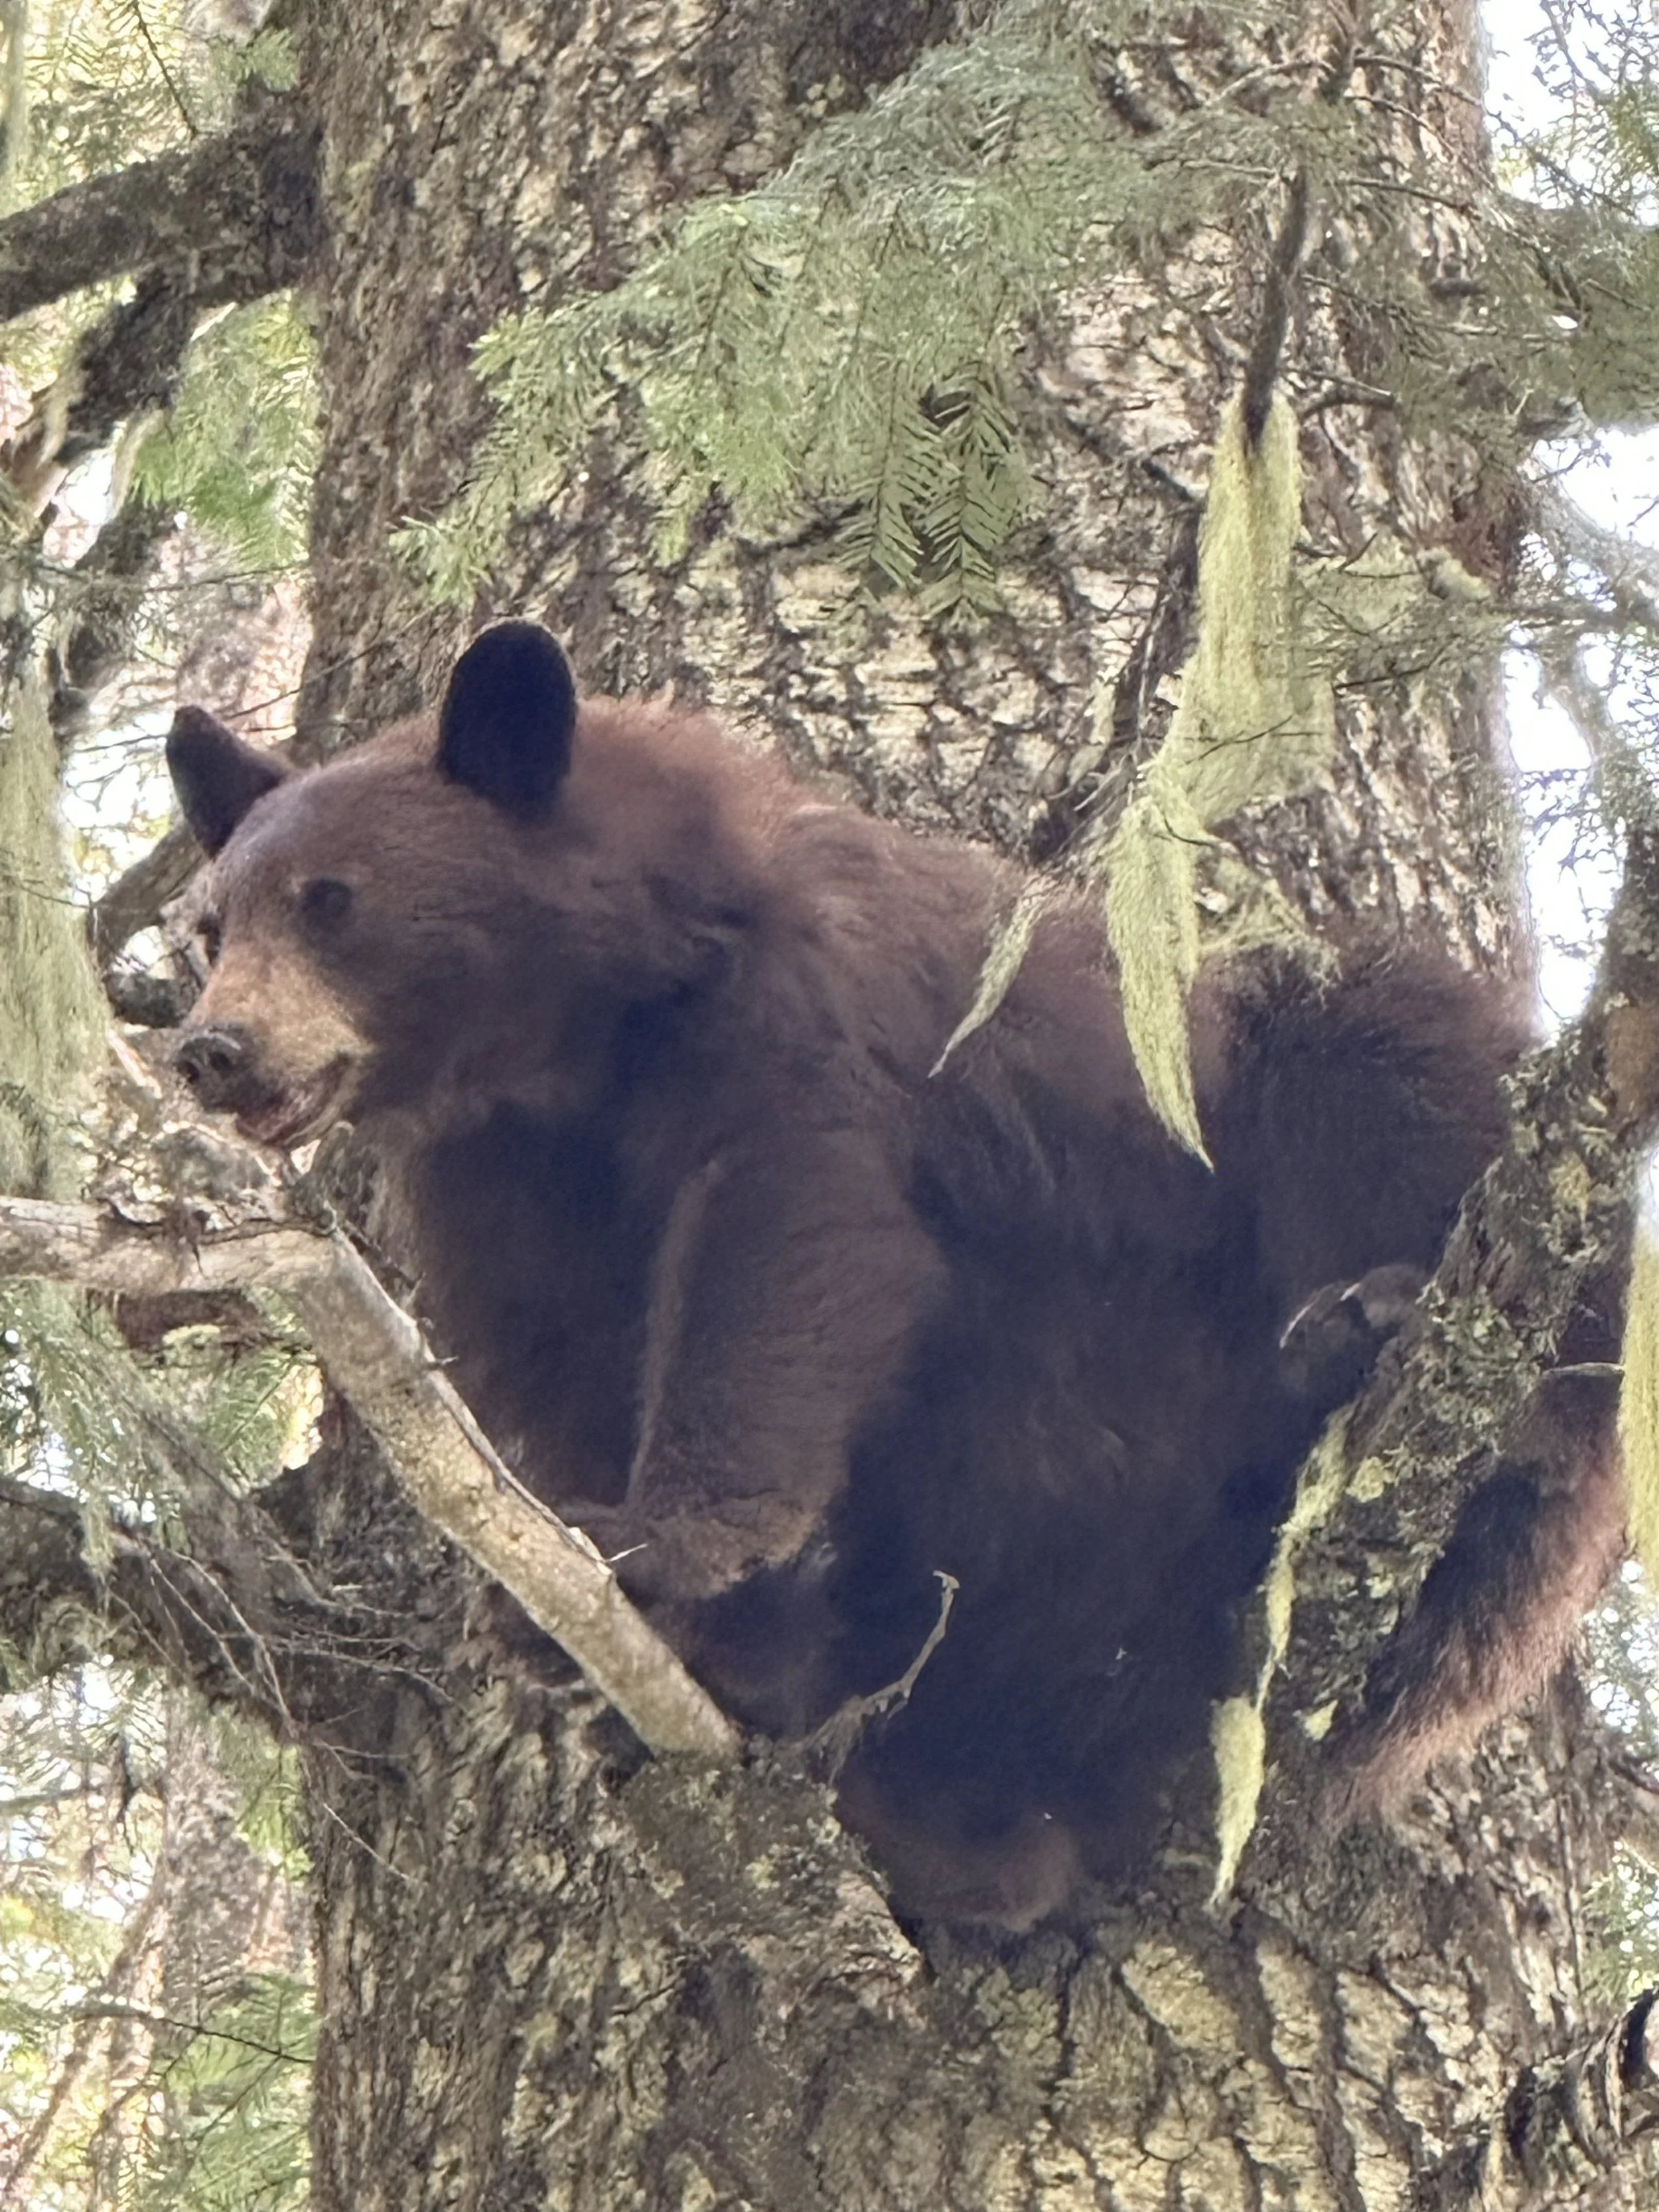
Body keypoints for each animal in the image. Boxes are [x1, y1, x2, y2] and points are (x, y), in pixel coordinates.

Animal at [164, 619, 1615, 1926]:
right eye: (209, 923)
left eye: (332, 897)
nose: (212, 1049)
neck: (588, 1033)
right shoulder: (500, 1178)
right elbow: (551, 1354)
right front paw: (630, 1616)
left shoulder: (804, 1020)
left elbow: (788, 1246)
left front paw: (654, 1545)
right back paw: (939, 1808)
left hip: (1289, 1116)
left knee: (1402, 1093)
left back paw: (1380, 1336)